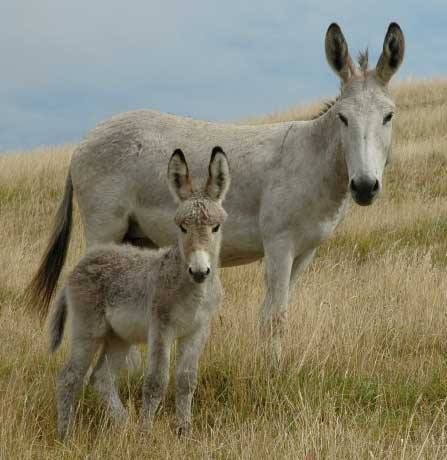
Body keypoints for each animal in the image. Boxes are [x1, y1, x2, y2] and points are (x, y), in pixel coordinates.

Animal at [49, 146, 231, 438]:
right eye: (182, 227)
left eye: (216, 228)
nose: (200, 271)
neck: (193, 292)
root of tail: (82, 263)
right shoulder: (161, 328)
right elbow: (156, 381)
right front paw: (146, 433)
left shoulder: (197, 331)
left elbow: (186, 381)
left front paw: (184, 431)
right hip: (88, 330)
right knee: (69, 377)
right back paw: (65, 436)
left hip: (118, 337)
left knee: (101, 378)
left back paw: (123, 426)